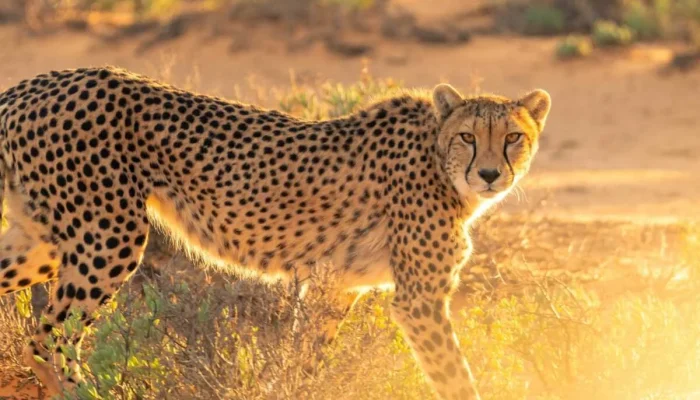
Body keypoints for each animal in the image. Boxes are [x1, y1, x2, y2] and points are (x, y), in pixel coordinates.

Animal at [0, 66, 551, 400]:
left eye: (513, 137)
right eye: (468, 137)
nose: (489, 174)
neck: (438, 158)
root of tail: (32, 84)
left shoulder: (334, 288)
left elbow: (305, 359)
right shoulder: (419, 300)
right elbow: (454, 375)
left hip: (46, 242)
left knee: (35, 324)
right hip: (109, 235)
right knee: (50, 336)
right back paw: (85, 390)